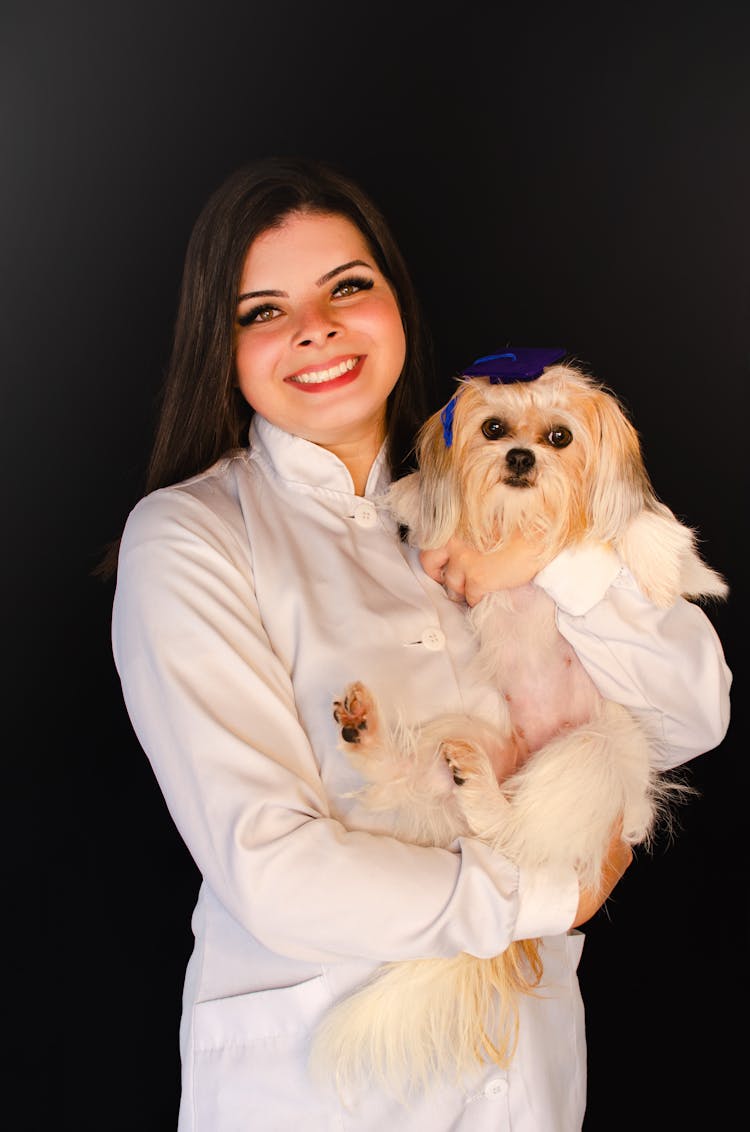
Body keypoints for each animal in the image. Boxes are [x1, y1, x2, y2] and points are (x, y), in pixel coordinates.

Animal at [307, 350, 723, 1095]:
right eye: (494, 428)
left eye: (559, 437)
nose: (522, 458)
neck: (521, 522)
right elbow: (427, 496)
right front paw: (409, 495)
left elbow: (638, 530)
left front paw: (659, 568)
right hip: (467, 734)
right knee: (431, 783)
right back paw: (371, 734)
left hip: (592, 749)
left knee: (516, 830)